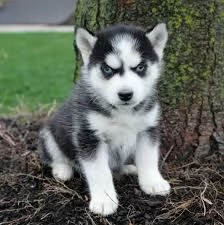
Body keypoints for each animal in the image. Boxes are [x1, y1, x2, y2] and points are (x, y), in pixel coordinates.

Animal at [39, 23, 172, 215]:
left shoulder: (148, 129)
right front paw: (104, 200)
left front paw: (152, 182)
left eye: (140, 67)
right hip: (48, 133)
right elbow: (99, 171)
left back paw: (127, 168)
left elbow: (149, 158)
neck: (123, 112)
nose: (125, 94)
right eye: (107, 69)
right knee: (54, 156)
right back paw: (62, 169)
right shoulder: (88, 135)